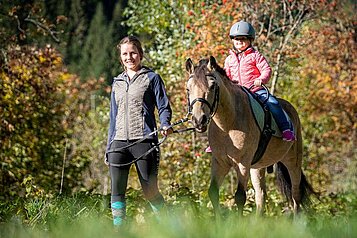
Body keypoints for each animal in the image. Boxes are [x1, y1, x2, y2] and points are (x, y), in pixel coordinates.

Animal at [185, 56, 312, 217]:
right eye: (188, 88)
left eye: (212, 86)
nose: (199, 120)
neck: (228, 125)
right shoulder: (220, 162)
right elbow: (213, 193)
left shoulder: (242, 163)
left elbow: (240, 196)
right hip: (257, 168)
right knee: (261, 195)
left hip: (293, 161)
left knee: (296, 195)